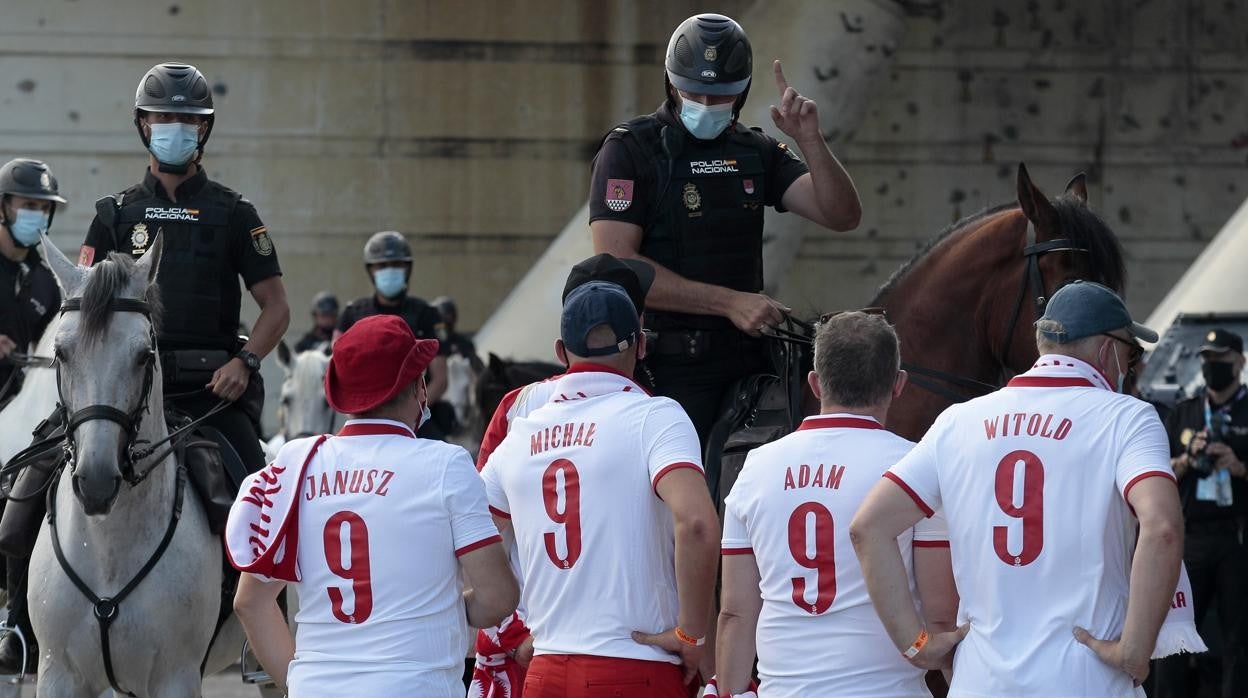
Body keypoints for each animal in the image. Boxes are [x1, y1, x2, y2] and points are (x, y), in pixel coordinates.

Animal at [26, 237, 243, 694]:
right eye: (60, 354)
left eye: (144, 355)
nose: (95, 482)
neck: (108, 542)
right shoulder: (58, 674)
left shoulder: (176, 678)